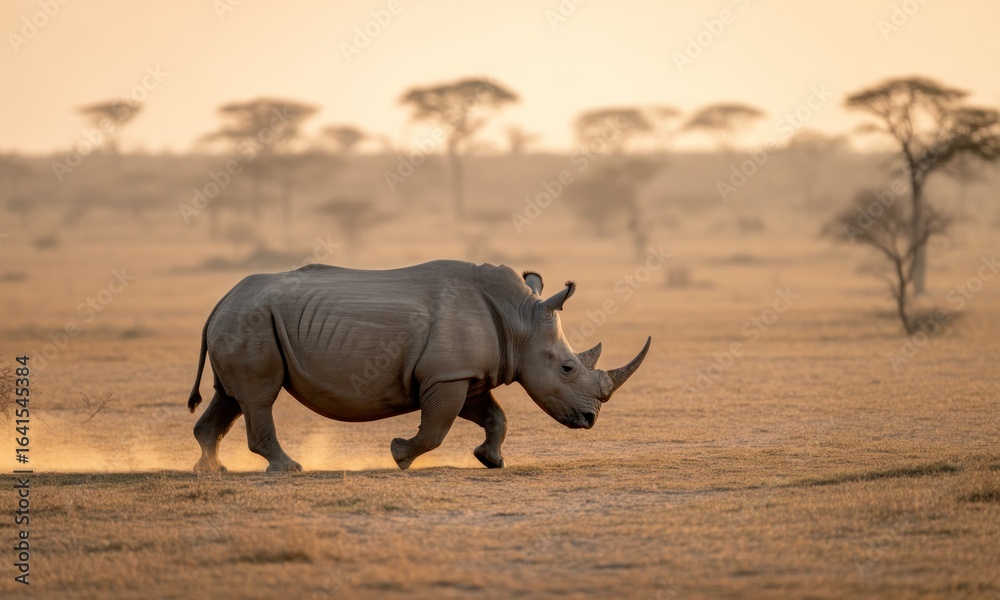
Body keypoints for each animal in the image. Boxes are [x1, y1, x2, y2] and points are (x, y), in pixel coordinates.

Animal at [187, 260, 650, 472]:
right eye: (568, 368)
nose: (590, 420)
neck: (519, 321)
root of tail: (221, 300)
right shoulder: (445, 375)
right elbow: (436, 428)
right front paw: (399, 455)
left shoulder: (464, 374)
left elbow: (494, 417)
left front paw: (492, 461)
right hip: (250, 320)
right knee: (259, 397)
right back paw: (290, 468)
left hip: (244, 319)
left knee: (231, 397)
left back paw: (212, 470)